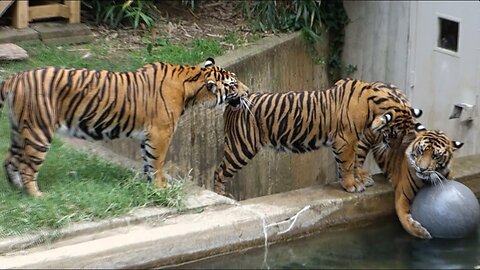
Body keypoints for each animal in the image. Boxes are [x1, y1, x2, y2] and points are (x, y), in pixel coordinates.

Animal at [0, 57, 251, 196]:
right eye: (233, 84)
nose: (248, 91)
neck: (191, 82)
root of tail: (14, 78)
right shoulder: (161, 133)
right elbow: (157, 162)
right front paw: (161, 188)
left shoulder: (148, 135)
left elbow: (148, 161)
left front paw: (150, 186)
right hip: (39, 132)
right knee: (27, 168)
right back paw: (38, 196)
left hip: (20, 131)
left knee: (10, 160)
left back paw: (17, 191)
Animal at [216, 77, 422, 197]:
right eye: (394, 133)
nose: (394, 149)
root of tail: (233, 104)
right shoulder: (345, 139)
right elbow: (347, 164)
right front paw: (351, 185)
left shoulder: (353, 140)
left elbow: (355, 160)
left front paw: (359, 179)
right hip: (241, 148)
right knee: (219, 172)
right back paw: (222, 196)